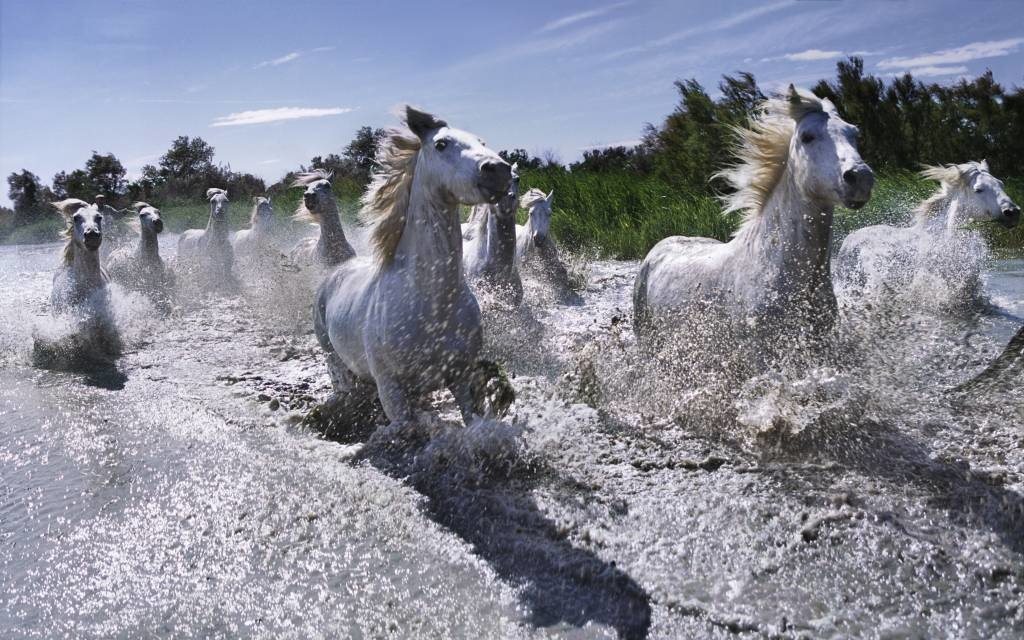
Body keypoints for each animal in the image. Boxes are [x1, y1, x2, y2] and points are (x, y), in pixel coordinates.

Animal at [310, 105, 513, 433]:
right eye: (441, 144)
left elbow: (471, 418)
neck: (431, 302)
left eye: (481, 141)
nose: (498, 170)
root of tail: (338, 269)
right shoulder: (392, 392)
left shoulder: (461, 377)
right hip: (336, 365)